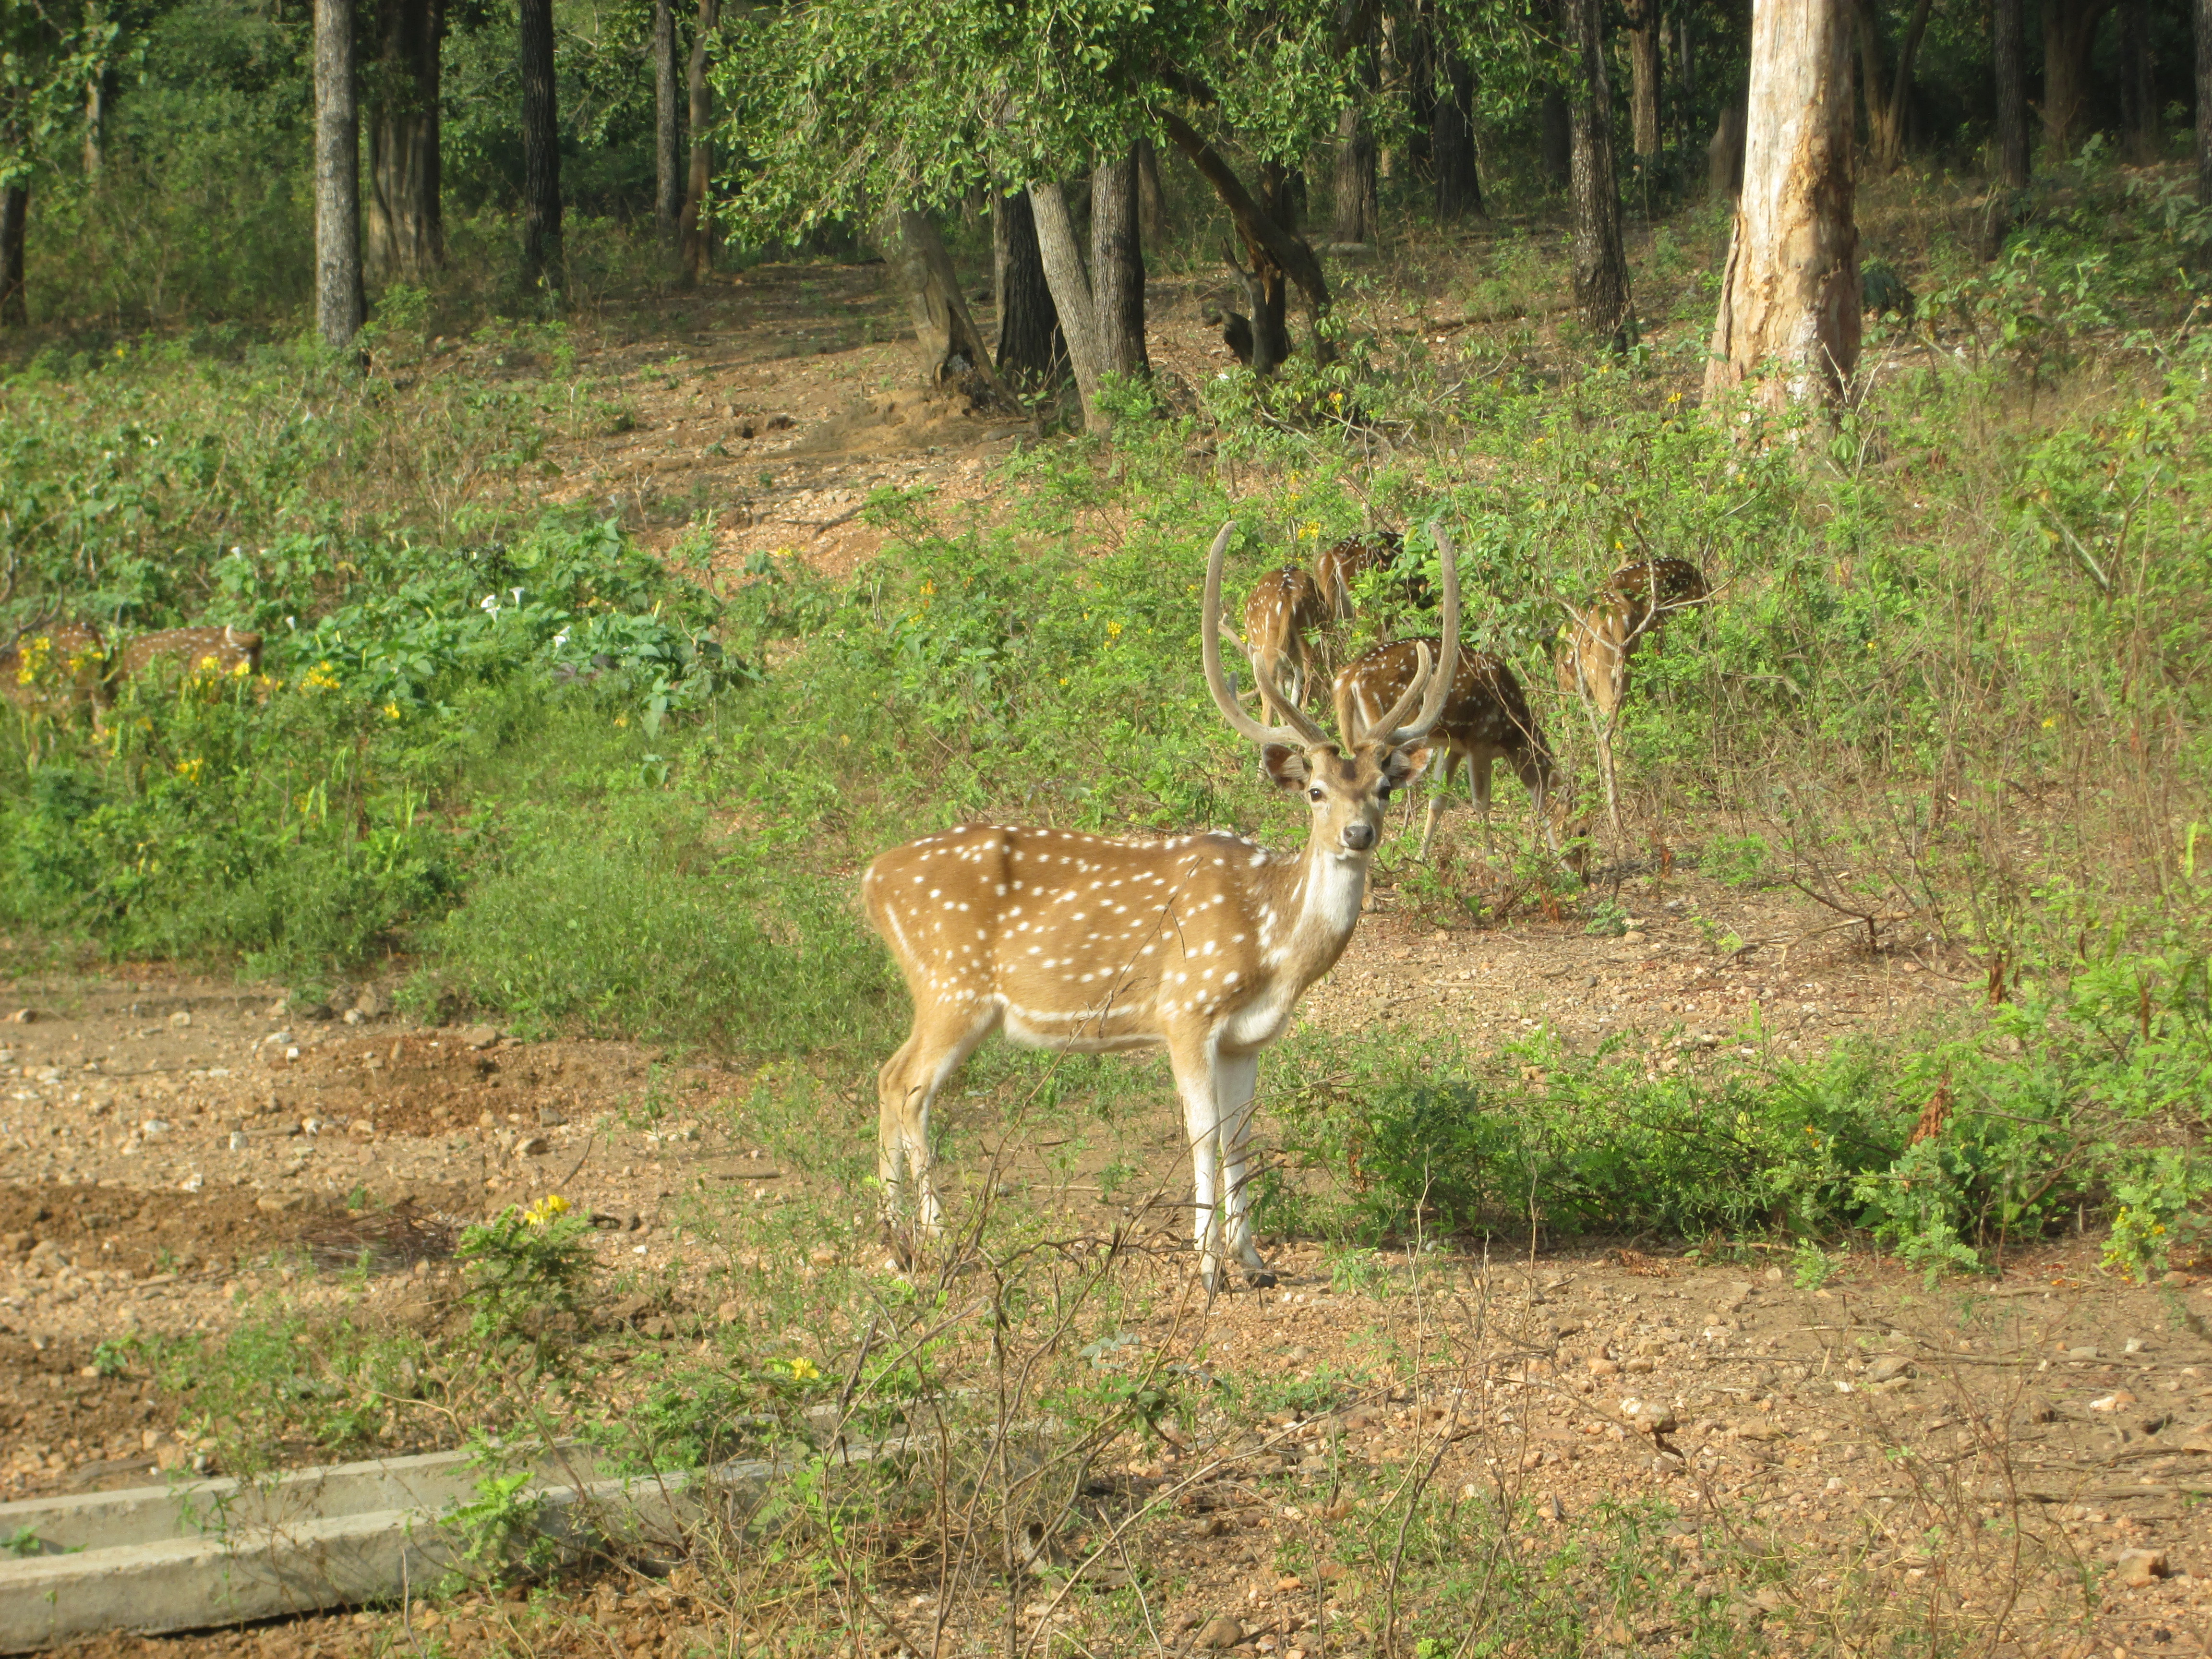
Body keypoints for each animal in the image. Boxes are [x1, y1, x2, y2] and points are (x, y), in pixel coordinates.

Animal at [1327, 641, 1557, 863]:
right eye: (1561, 805)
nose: (1561, 854)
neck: (1513, 735)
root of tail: (1348, 677)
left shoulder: (1453, 746)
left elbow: (1438, 800)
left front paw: (1421, 858)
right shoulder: (1480, 740)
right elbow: (1482, 802)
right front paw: (1493, 862)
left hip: (1357, 733)